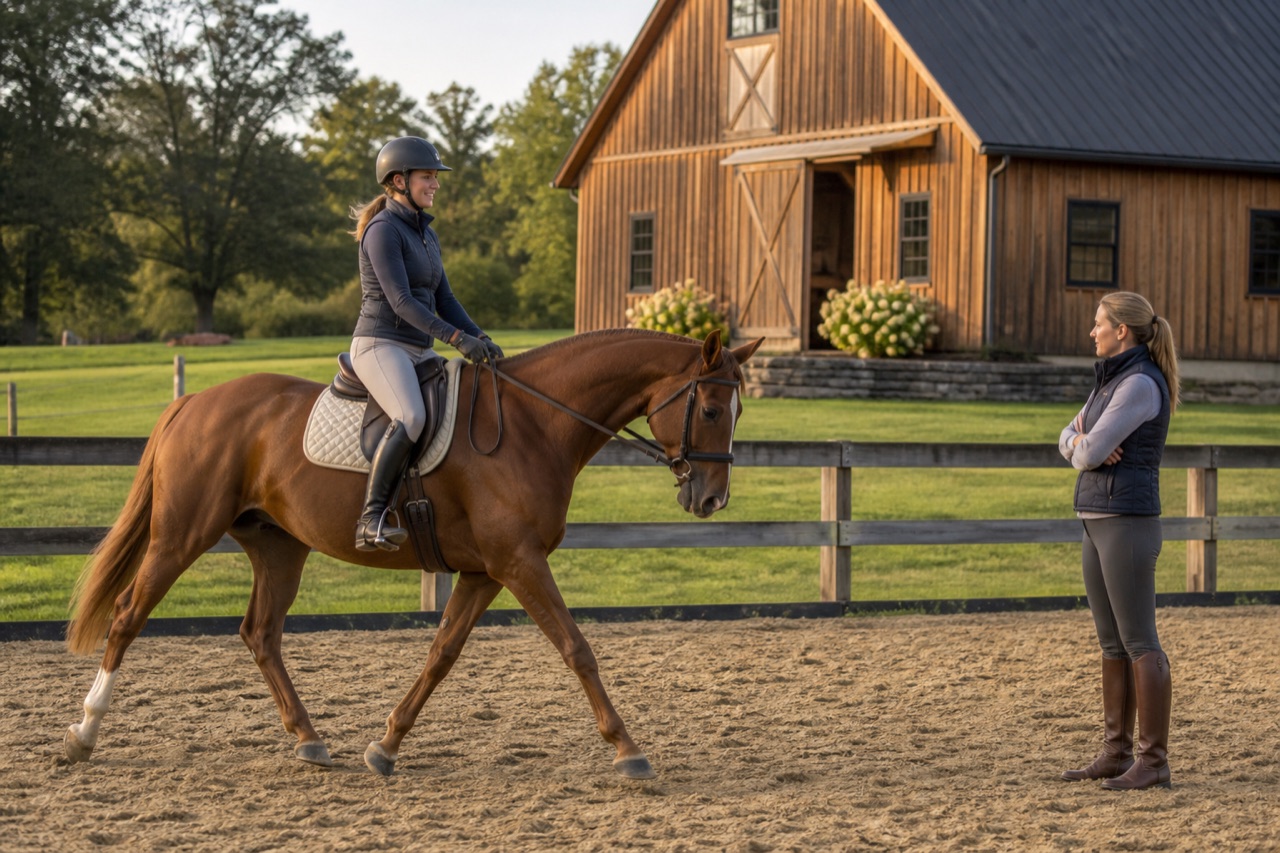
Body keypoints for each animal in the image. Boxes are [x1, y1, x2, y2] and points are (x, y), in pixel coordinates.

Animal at [64, 329, 763, 779]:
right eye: (708, 407)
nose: (713, 498)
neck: (535, 424)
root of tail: (193, 402)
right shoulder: (520, 563)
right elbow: (577, 649)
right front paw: (627, 750)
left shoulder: (485, 571)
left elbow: (441, 655)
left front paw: (387, 746)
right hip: (181, 536)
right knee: (127, 617)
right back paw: (83, 735)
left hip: (279, 547)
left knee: (260, 633)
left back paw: (310, 740)